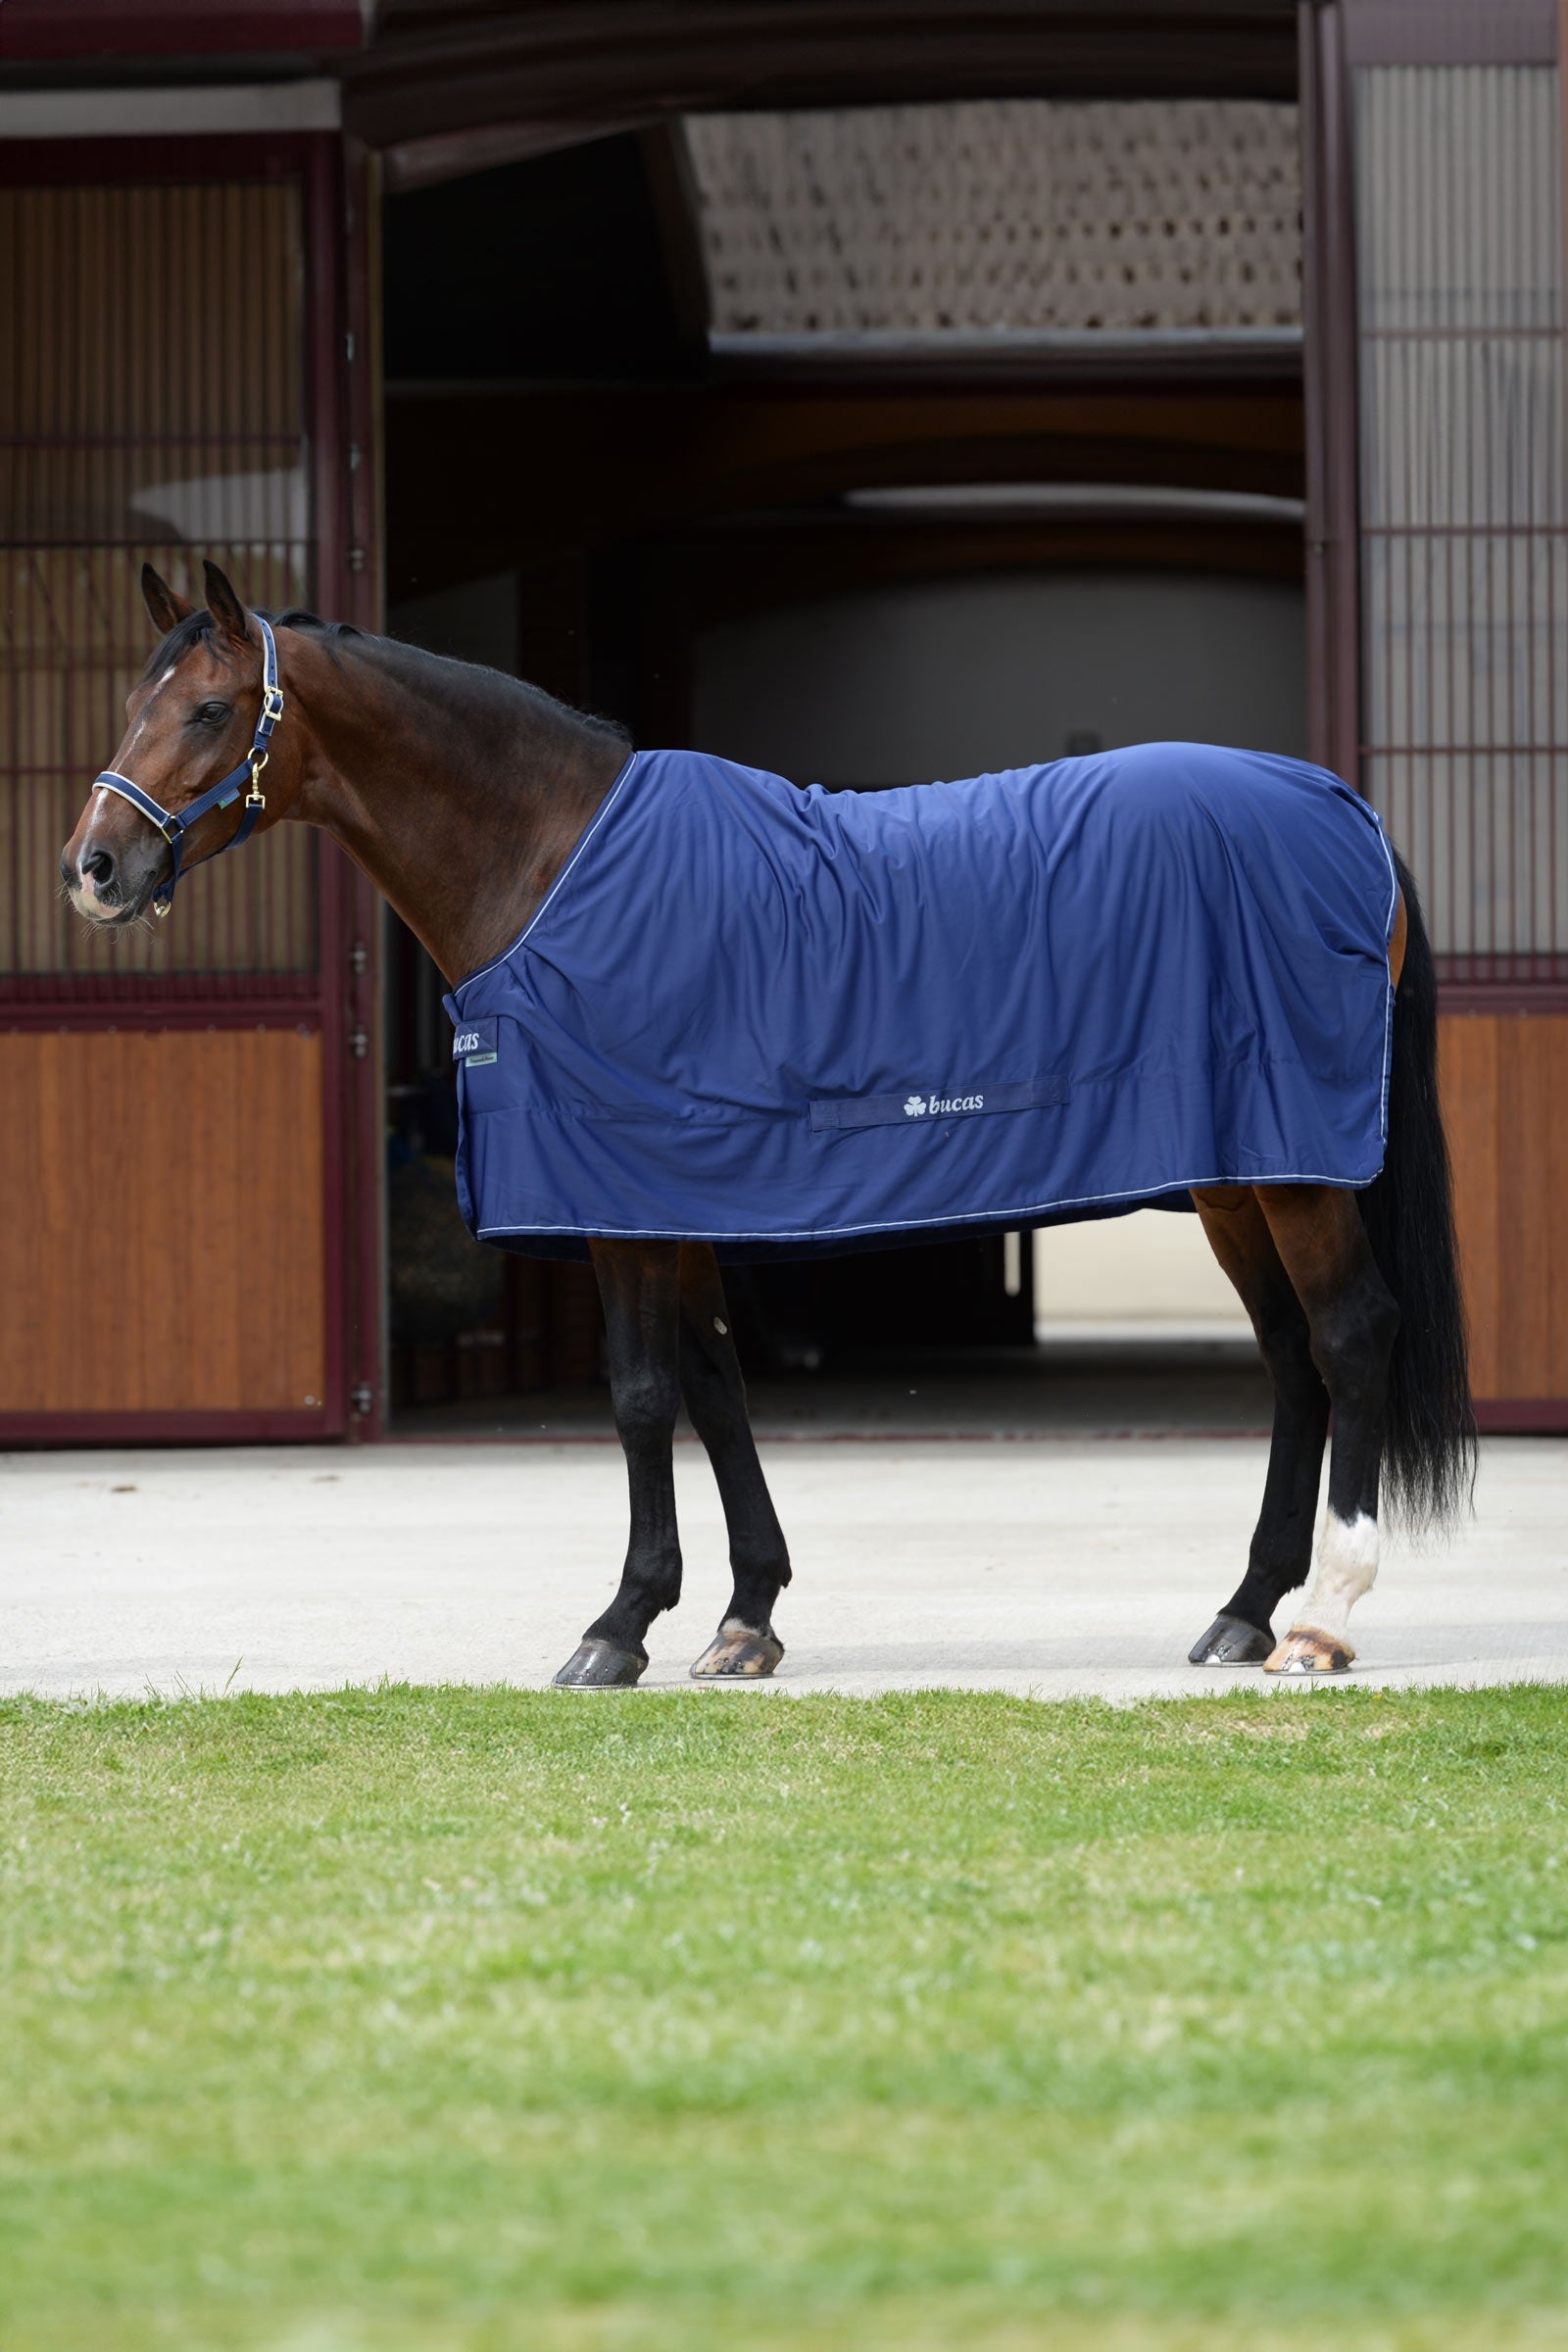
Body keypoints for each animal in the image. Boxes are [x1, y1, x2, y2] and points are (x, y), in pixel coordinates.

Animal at [61, 561, 1474, 1687]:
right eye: (129, 704)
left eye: (208, 709)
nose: (94, 869)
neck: (552, 864)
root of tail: (1345, 812)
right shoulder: (674, 1193)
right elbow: (715, 1388)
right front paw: (743, 1620)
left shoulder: (620, 1198)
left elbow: (640, 1398)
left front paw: (618, 1627)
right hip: (1243, 1175)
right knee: (1291, 1362)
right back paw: (1243, 1612)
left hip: (1297, 1176)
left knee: (1351, 1338)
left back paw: (1324, 1620)